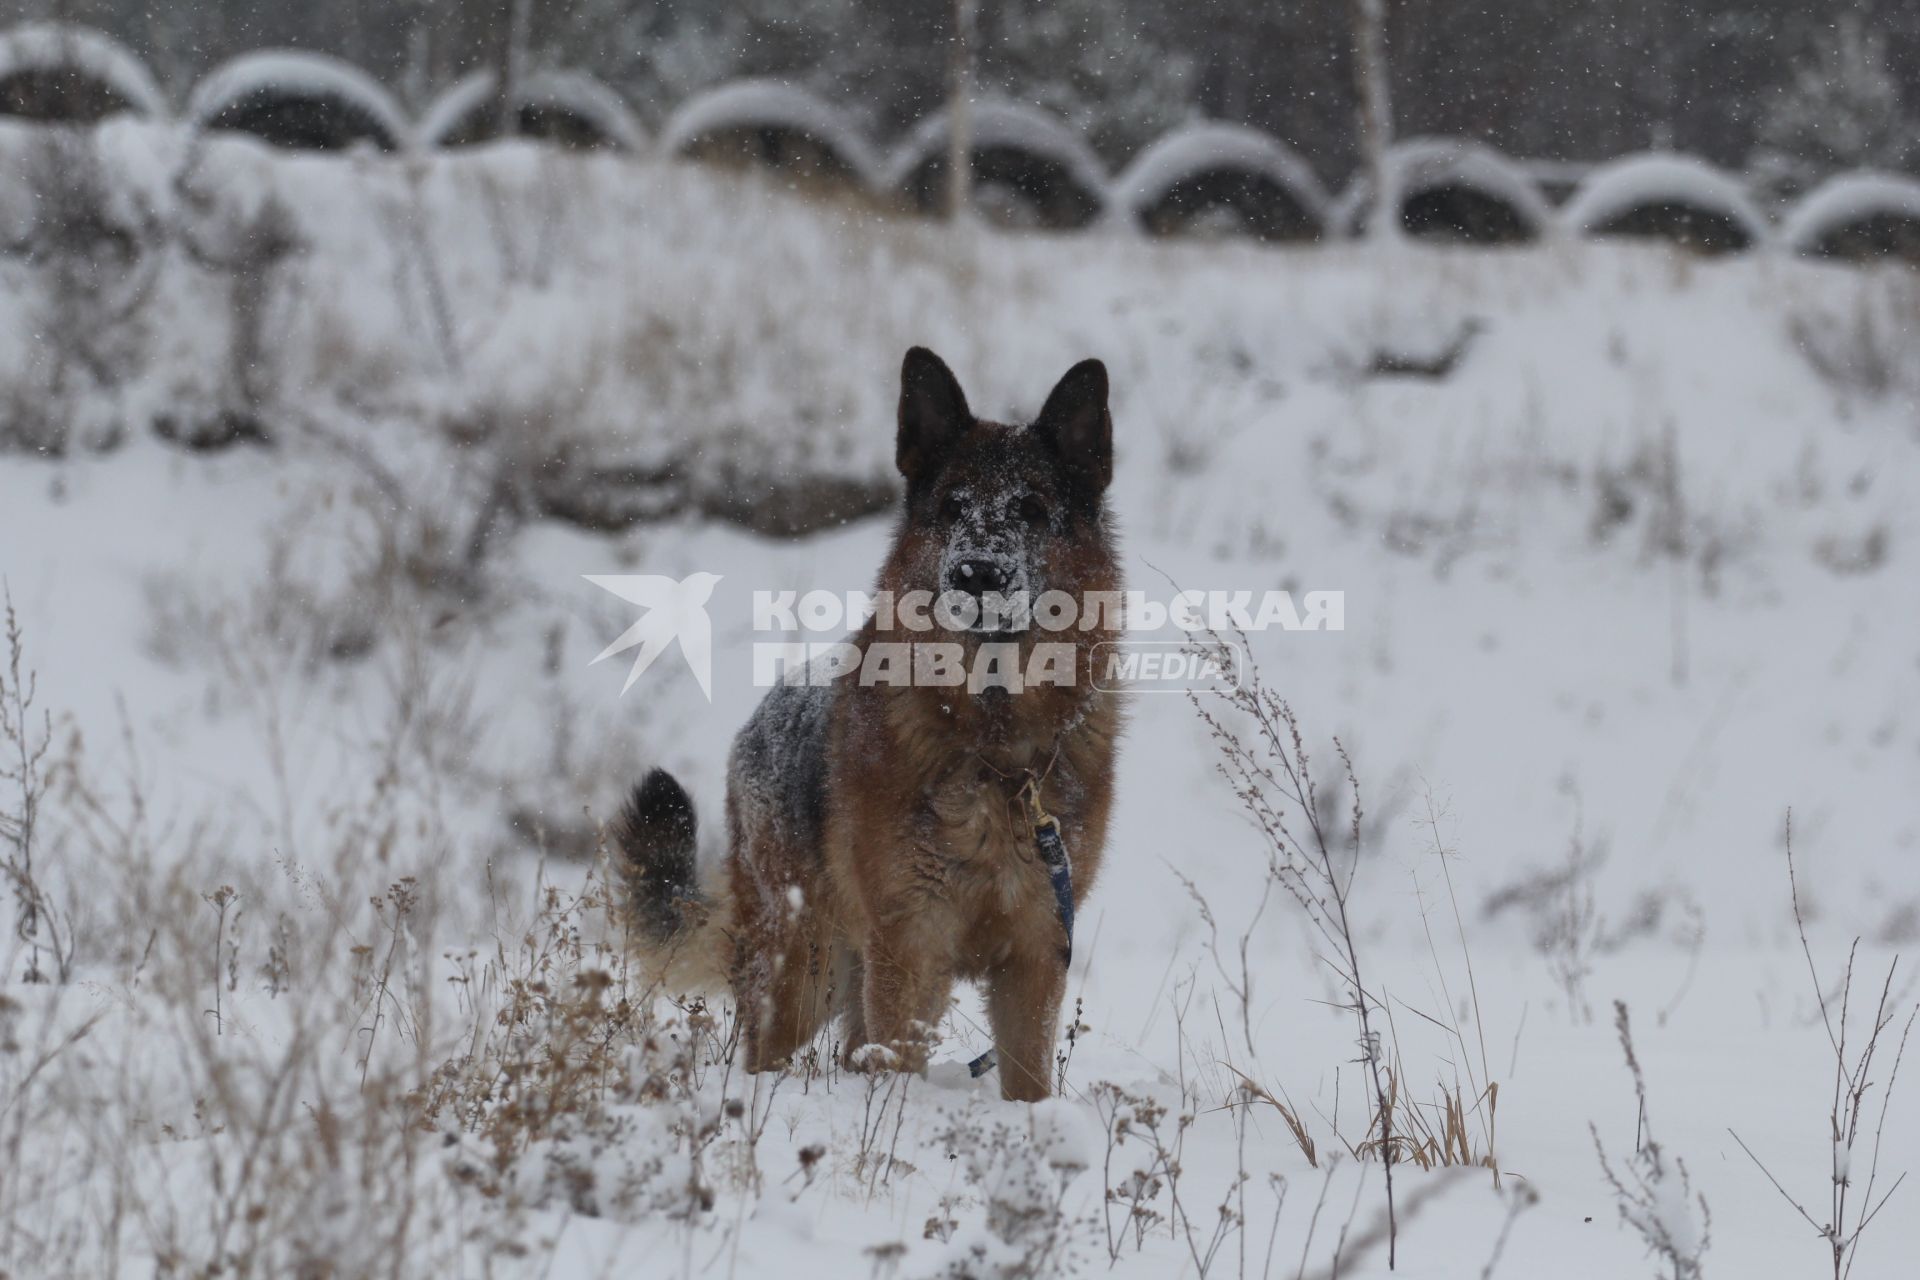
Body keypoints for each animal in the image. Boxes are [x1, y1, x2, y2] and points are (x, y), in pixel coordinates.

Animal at [614, 347, 1121, 1105]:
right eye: (953, 507)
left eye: (1032, 510)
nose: (976, 573)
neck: (992, 748)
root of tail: (754, 726)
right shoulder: (911, 948)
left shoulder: (1035, 959)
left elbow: (1027, 1084)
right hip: (808, 974)